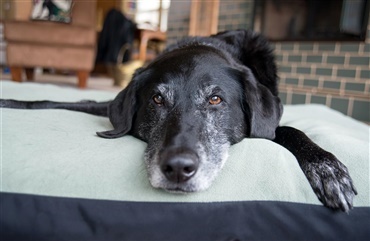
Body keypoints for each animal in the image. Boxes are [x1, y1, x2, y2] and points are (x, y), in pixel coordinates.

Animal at [1, 29, 356, 211]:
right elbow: (54, 100)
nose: (178, 169)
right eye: (157, 99)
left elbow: (290, 129)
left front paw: (327, 168)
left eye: (215, 99)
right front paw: (10, 101)